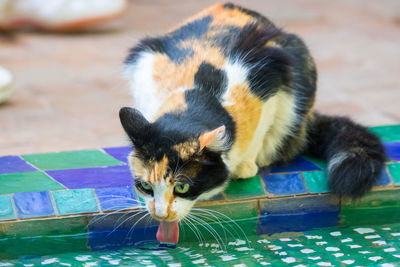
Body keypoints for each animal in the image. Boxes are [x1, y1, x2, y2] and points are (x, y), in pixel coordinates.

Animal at [118, 2, 384, 245]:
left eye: (182, 187)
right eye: (145, 185)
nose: (160, 214)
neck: (200, 95)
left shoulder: (272, 77)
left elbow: (260, 129)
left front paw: (246, 166)